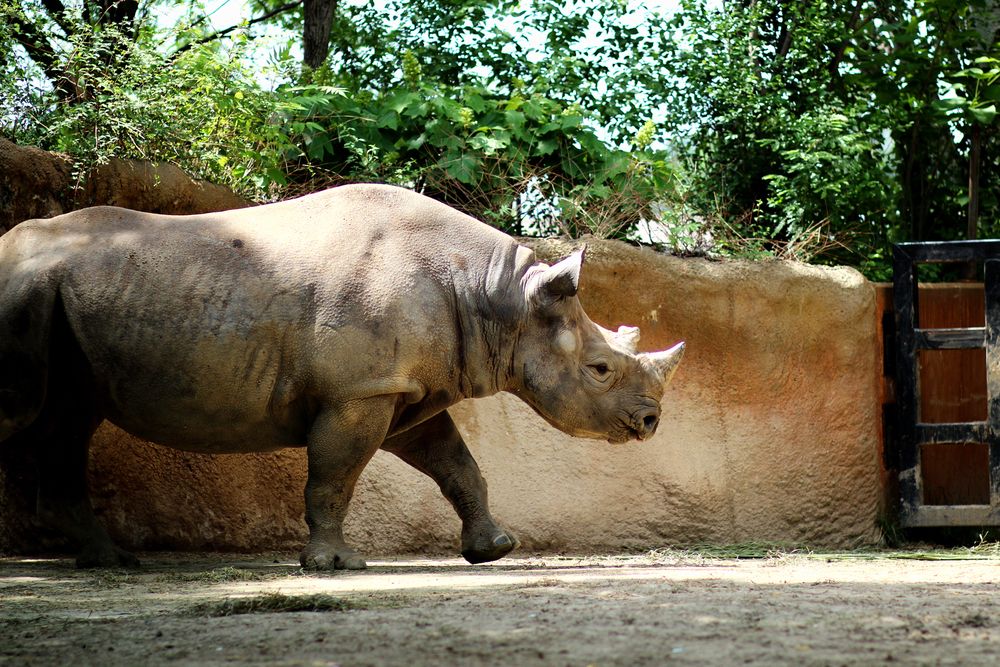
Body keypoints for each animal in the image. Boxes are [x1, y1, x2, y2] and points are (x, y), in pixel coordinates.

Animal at [0, 184, 683, 569]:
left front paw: (493, 550)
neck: (499, 299)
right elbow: (336, 475)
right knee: (32, 415)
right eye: (598, 369)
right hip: (23, 293)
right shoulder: (359, 390)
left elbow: (456, 463)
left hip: (67, 306)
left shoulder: (399, 387)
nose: (652, 421)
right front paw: (333, 564)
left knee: (66, 422)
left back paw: (111, 563)